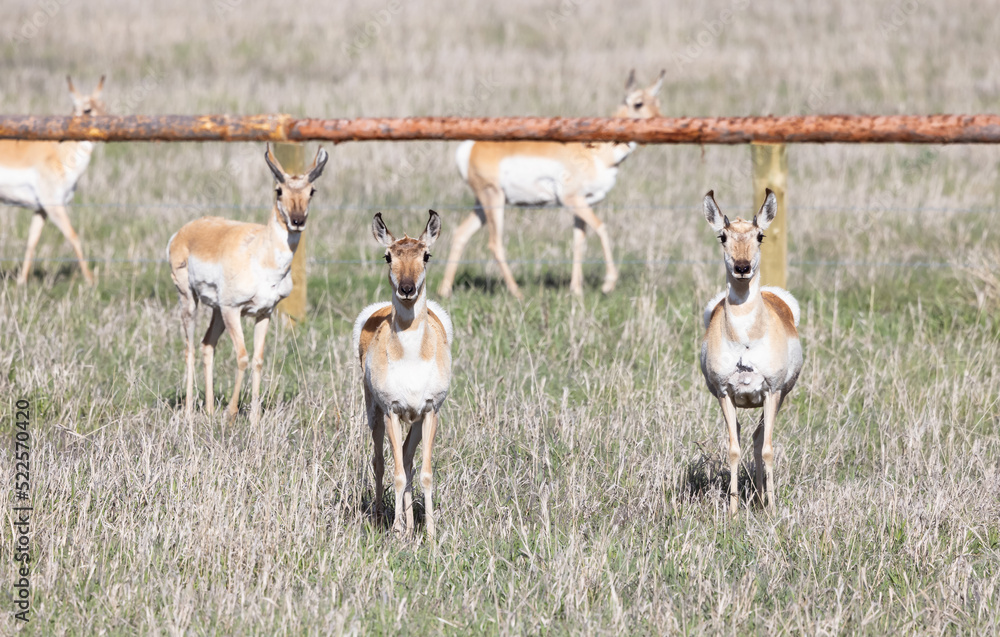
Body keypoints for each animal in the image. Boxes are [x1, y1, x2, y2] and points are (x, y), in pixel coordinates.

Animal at [0, 74, 107, 284]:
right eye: (87, 109)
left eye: (105, 105)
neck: (61, 151)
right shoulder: (54, 205)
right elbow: (74, 237)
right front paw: (90, 281)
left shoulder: (41, 209)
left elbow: (32, 242)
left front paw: (21, 282)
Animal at [168, 144, 328, 422]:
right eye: (279, 190)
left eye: (311, 191)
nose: (297, 221)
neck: (261, 255)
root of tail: (184, 231)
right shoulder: (234, 310)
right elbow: (242, 357)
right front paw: (232, 413)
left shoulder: (264, 313)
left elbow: (257, 359)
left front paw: (254, 418)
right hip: (190, 300)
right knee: (189, 349)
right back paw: (189, 411)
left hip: (217, 311)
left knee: (207, 345)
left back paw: (209, 410)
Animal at [354, 210, 456, 536]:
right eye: (388, 256)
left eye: (426, 254)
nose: (407, 289)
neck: (411, 357)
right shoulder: (392, 411)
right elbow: (396, 472)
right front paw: (397, 531)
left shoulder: (430, 410)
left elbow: (424, 472)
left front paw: (431, 533)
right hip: (374, 413)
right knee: (380, 461)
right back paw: (380, 517)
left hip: (416, 421)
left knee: (408, 460)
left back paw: (412, 526)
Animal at [440, 69, 664, 298]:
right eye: (638, 103)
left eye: (658, 102)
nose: (659, 122)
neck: (597, 152)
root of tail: (471, 146)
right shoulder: (571, 199)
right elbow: (602, 228)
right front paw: (608, 284)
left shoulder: (583, 203)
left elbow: (579, 241)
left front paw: (576, 290)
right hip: (493, 199)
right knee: (495, 243)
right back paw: (517, 293)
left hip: (483, 204)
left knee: (461, 233)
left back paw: (444, 291)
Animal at [704, 188, 804, 512]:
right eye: (722, 236)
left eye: (760, 235)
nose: (742, 267)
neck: (744, 342)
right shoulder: (724, 394)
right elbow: (733, 449)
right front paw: (734, 511)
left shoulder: (772, 391)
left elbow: (768, 448)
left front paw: (771, 509)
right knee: (748, 437)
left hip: (778, 398)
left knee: (760, 440)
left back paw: (762, 499)